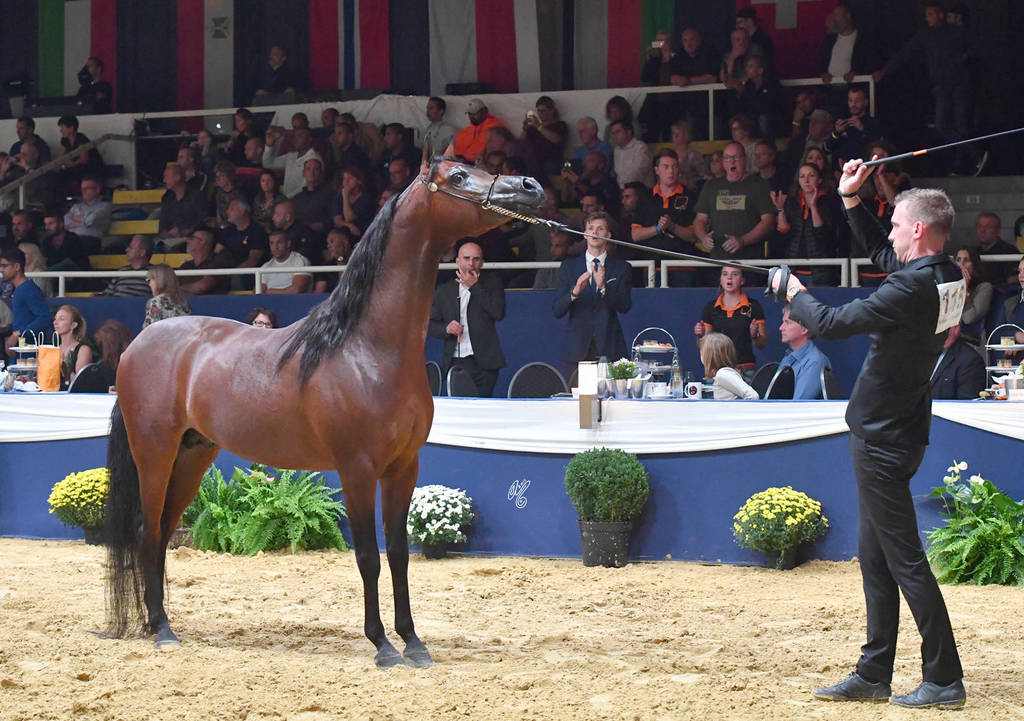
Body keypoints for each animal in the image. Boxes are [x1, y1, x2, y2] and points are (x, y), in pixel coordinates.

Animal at [104, 154, 545, 667]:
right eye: (457, 177)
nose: (529, 186)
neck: (366, 348)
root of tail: (136, 346)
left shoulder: (404, 467)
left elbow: (398, 553)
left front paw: (413, 641)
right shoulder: (357, 468)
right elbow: (368, 557)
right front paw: (382, 646)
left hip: (192, 456)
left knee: (161, 532)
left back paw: (160, 623)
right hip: (154, 454)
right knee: (147, 530)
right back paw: (161, 629)